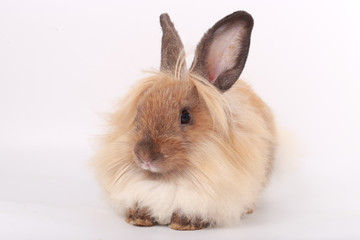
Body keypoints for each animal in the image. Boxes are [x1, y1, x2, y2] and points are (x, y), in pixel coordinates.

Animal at [92, 10, 276, 231]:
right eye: (140, 109)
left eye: (185, 116)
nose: (144, 156)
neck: (167, 180)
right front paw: (139, 219)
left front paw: (183, 224)